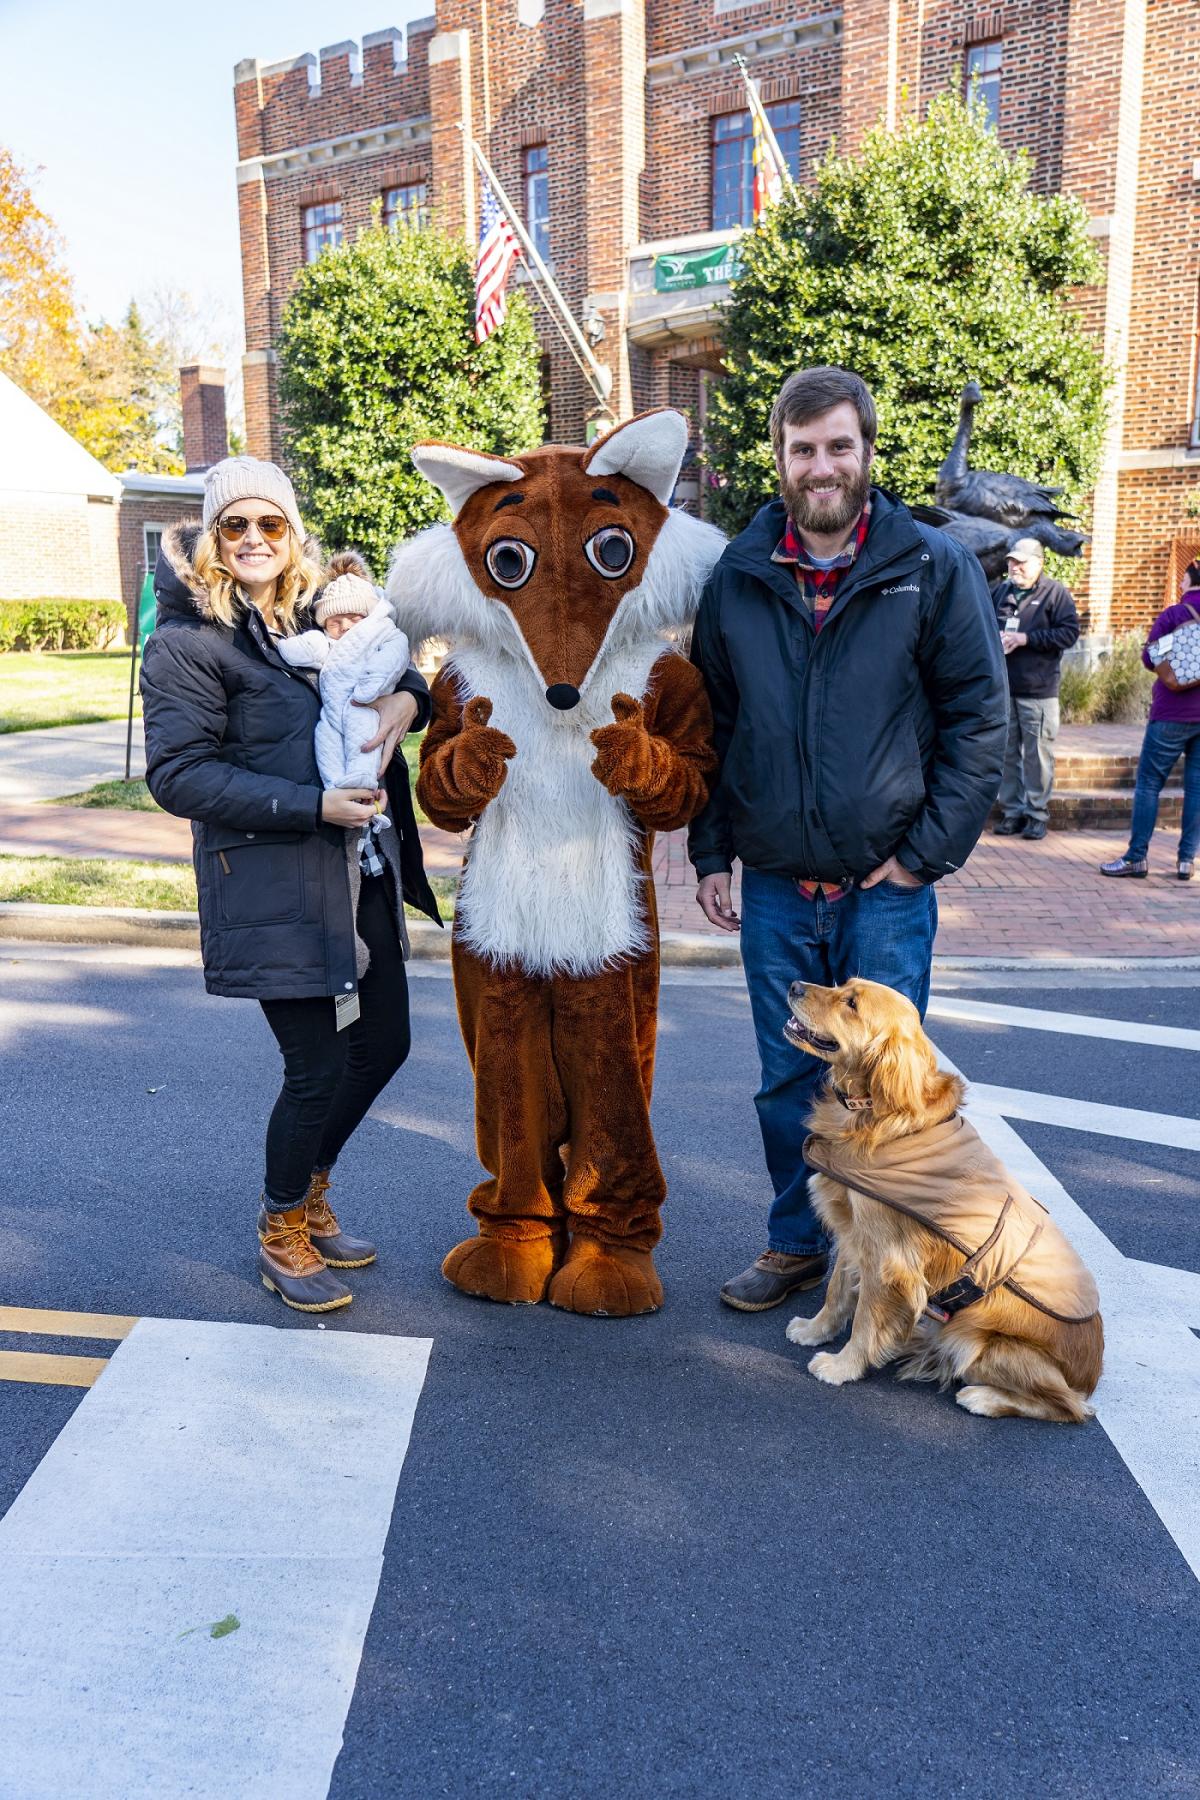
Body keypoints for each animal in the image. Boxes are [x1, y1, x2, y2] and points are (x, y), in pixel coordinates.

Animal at [784, 986, 1101, 1418]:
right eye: (842, 985)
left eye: (851, 1004)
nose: (795, 986)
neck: (875, 1113)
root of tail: (1091, 1378)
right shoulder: (855, 1233)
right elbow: (837, 1290)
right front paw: (815, 1330)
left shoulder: (888, 1257)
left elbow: (866, 1318)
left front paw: (843, 1366)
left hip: (971, 1337)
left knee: (1067, 1407)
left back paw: (982, 1397)